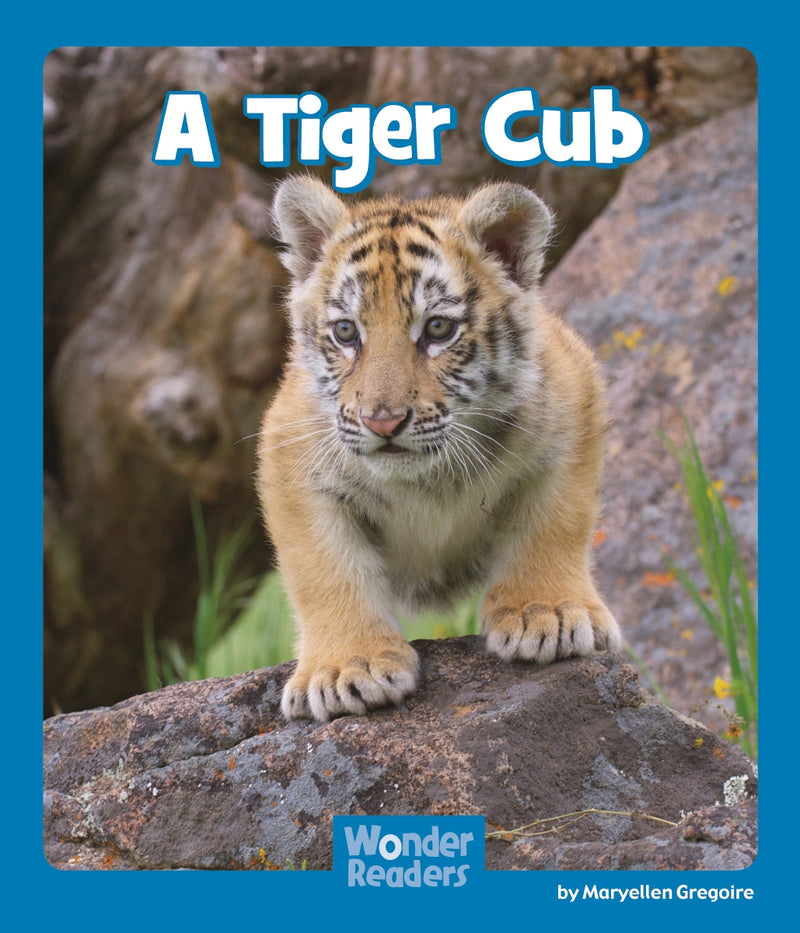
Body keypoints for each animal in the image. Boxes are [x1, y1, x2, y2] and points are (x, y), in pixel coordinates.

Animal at [256, 174, 621, 722]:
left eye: (437, 328)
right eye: (346, 331)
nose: (382, 421)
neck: (427, 478)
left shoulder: (573, 408)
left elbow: (556, 522)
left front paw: (548, 614)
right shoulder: (292, 457)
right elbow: (325, 569)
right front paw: (348, 669)